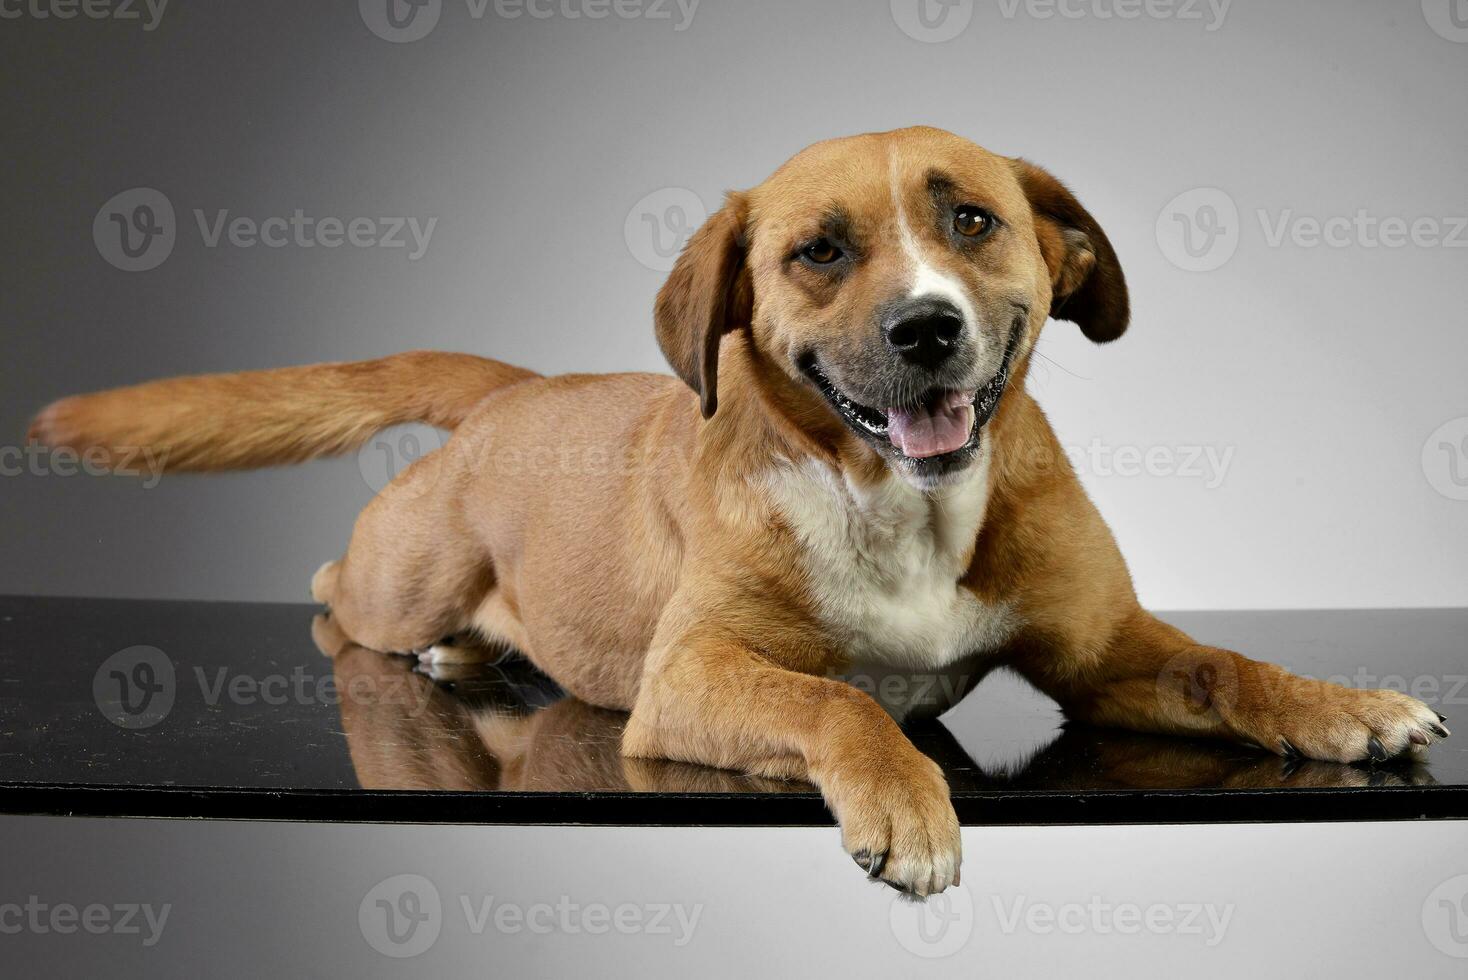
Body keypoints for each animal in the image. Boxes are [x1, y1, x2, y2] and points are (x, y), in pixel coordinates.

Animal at [31, 128, 1444, 897]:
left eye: (972, 219)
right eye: (818, 250)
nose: (925, 328)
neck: (900, 502)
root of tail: (517, 393)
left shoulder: (1102, 653)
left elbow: (1226, 665)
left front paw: (1342, 705)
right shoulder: (692, 676)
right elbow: (840, 702)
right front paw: (905, 800)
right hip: (398, 582)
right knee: (335, 588)